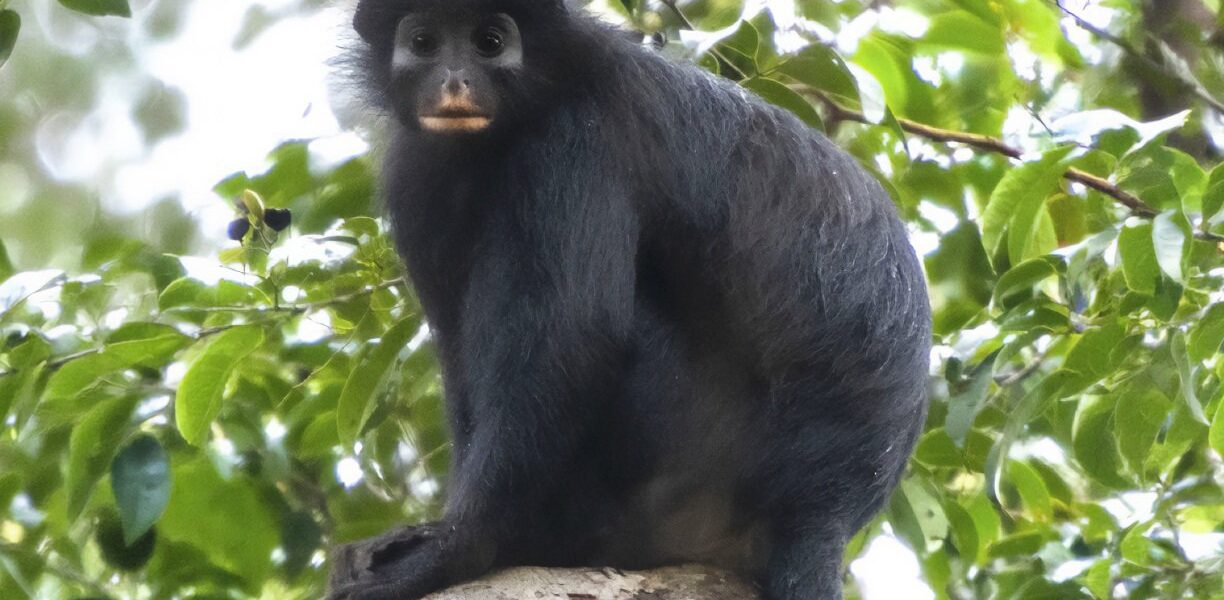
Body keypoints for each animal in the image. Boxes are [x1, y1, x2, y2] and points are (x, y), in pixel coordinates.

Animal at [327, 1, 931, 599]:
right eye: (424, 43)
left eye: (490, 42)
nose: (455, 80)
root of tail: (825, 510)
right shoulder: (417, 174)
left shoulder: (576, 137)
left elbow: (574, 338)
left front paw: (460, 547)